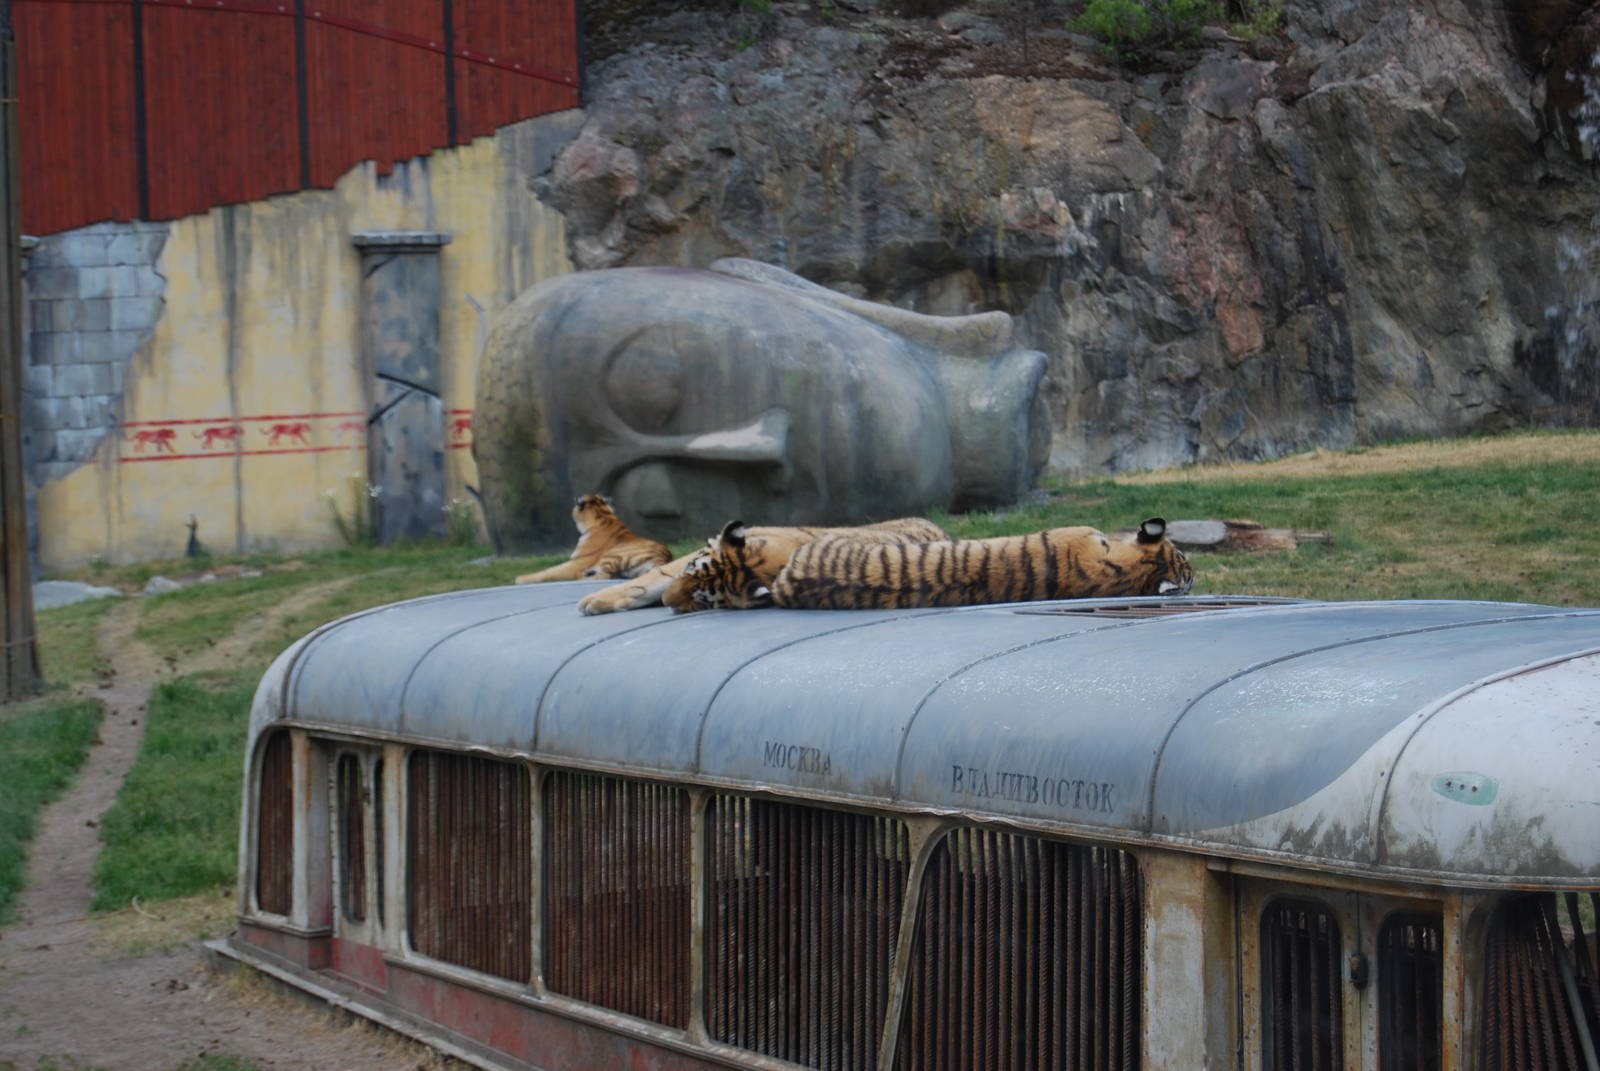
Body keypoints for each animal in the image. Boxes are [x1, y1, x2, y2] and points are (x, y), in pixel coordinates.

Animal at [515, 494, 673, 583]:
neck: (604, 516)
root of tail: (664, 558)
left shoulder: (576, 562)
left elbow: (549, 571)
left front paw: (521, 578)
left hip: (613, 555)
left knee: (604, 575)